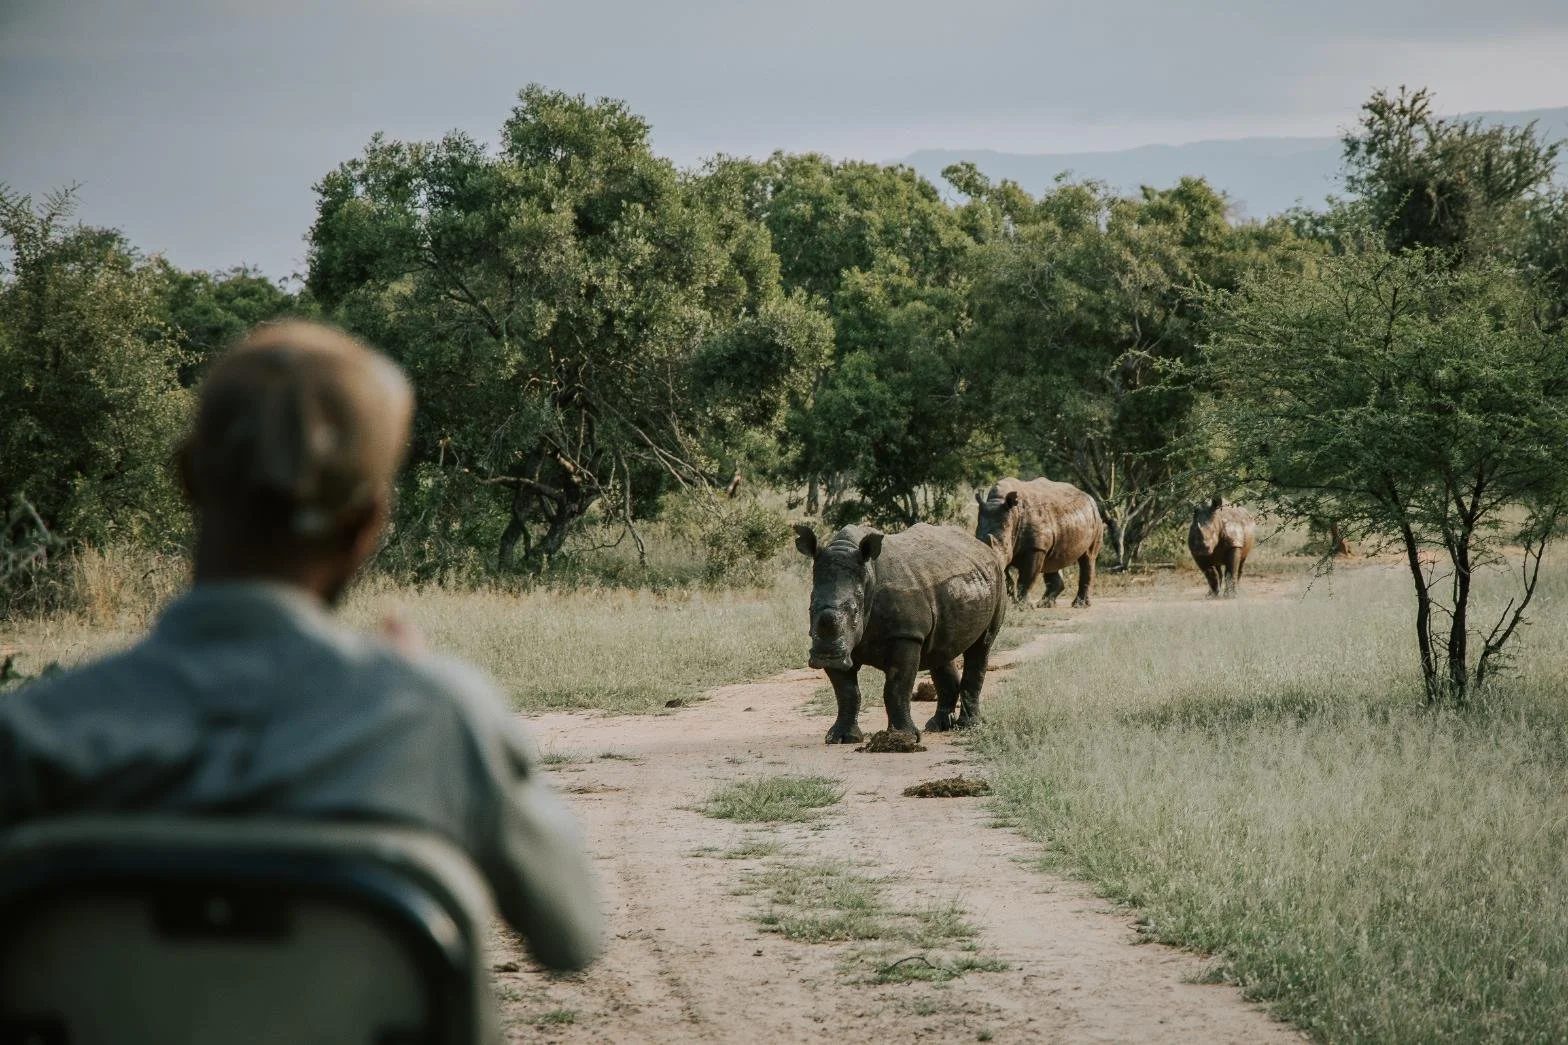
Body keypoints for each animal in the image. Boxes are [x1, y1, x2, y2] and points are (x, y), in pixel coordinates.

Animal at [793, 523, 1006, 743]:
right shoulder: (840, 644)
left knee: (981, 646)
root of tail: (983, 546)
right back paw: (938, 726)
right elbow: (847, 692)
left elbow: (896, 688)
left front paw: (902, 737)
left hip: (998, 579)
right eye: (810, 607)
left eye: (854, 611)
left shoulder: (906, 635)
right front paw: (841, 738)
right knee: (942, 650)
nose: (826, 657)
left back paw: (969, 725)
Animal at [974, 477, 1103, 608]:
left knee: (1088, 558)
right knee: (1052, 561)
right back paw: (1045, 604)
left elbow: (1026, 578)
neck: (1014, 512)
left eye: (1000, 544)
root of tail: (1088, 496)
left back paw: (1079, 605)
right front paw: (1010, 601)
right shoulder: (1011, 548)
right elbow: (1006, 577)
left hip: (1096, 518)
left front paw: (1022, 607)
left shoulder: (1035, 548)